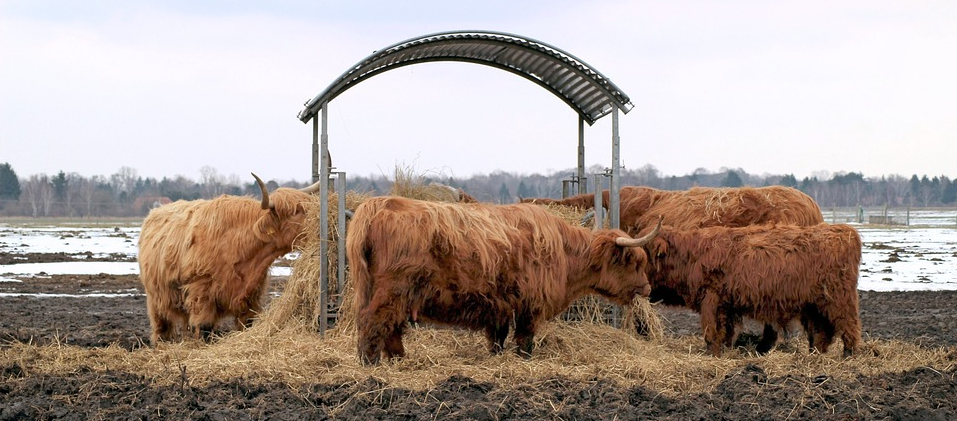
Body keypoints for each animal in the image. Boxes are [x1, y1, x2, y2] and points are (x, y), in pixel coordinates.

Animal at [138, 172, 320, 342]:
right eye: (296, 212)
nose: (319, 220)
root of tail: (154, 212)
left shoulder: (251, 295)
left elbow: (247, 325)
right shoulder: (201, 293)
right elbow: (204, 328)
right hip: (155, 296)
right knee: (161, 325)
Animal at [348, 197, 660, 364]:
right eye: (634, 262)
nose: (647, 288)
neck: (565, 253)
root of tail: (379, 204)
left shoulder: (498, 306)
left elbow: (497, 339)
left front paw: (496, 358)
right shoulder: (529, 306)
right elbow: (525, 340)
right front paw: (524, 360)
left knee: (390, 328)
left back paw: (399, 360)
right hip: (392, 290)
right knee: (374, 322)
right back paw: (370, 364)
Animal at [648, 221, 864, 356]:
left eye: (645, 252)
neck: (691, 255)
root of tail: (847, 232)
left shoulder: (711, 297)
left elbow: (711, 331)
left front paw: (711, 354)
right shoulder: (726, 304)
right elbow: (725, 331)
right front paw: (723, 351)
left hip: (839, 298)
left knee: (850, 325)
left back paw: (848, 355)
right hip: (815, 305)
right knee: (821, 332)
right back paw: (815, 355)